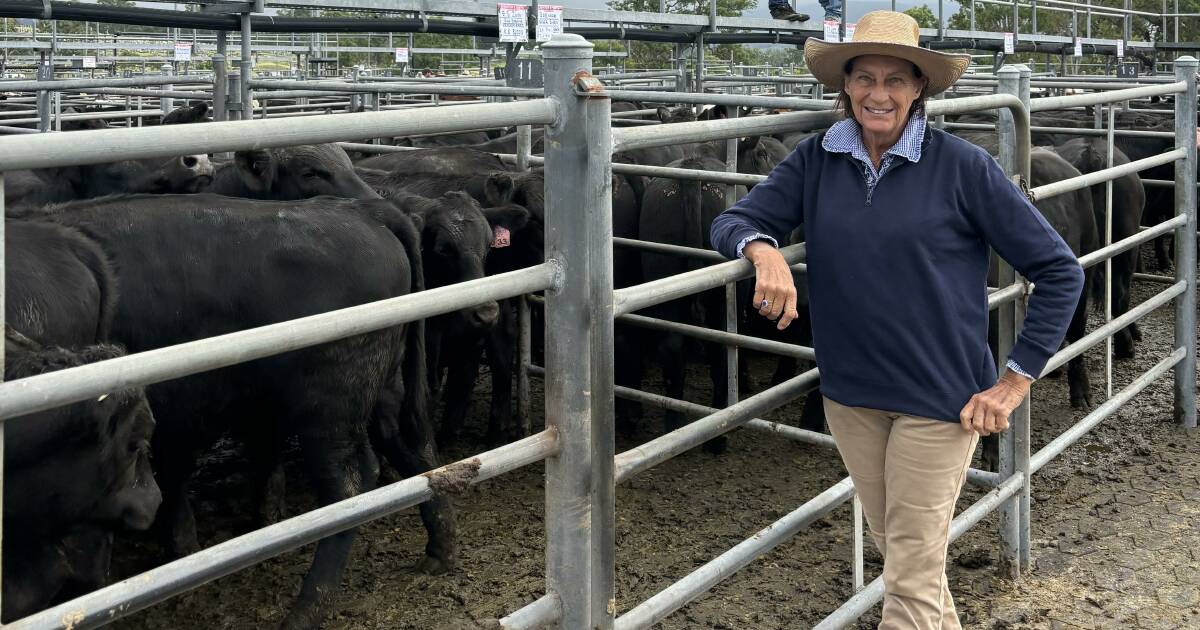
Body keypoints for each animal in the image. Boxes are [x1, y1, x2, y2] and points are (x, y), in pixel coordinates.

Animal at [28, 194, 448, 624]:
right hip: (382, 388)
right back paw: (440, 549)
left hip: (329, 406)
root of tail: (362, 208)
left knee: (348, 485)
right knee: (412, 448)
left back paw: (306, 609)